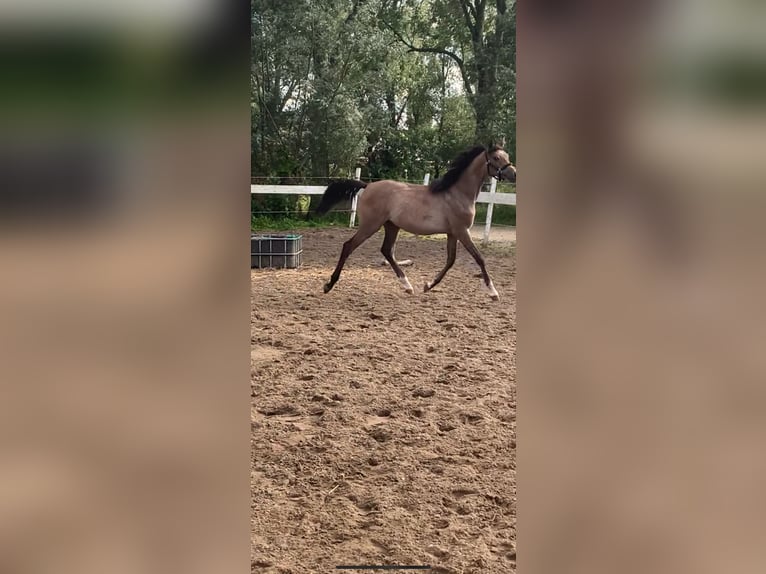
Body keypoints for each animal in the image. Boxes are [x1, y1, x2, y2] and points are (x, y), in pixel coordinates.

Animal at [316, 145, 520, 302]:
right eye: (496, 157)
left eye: (507, 156)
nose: (514, 174)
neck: (457, 194)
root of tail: (368, 185)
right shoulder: (462, 231)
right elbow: (479, 258)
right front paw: (493, 292)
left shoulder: (452, 233)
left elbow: (450, 260)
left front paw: (428, 285)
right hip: (370, 225)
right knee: (348, 246)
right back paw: (328, 285)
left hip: (391, 226)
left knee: (387, 251)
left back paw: (407, 286)